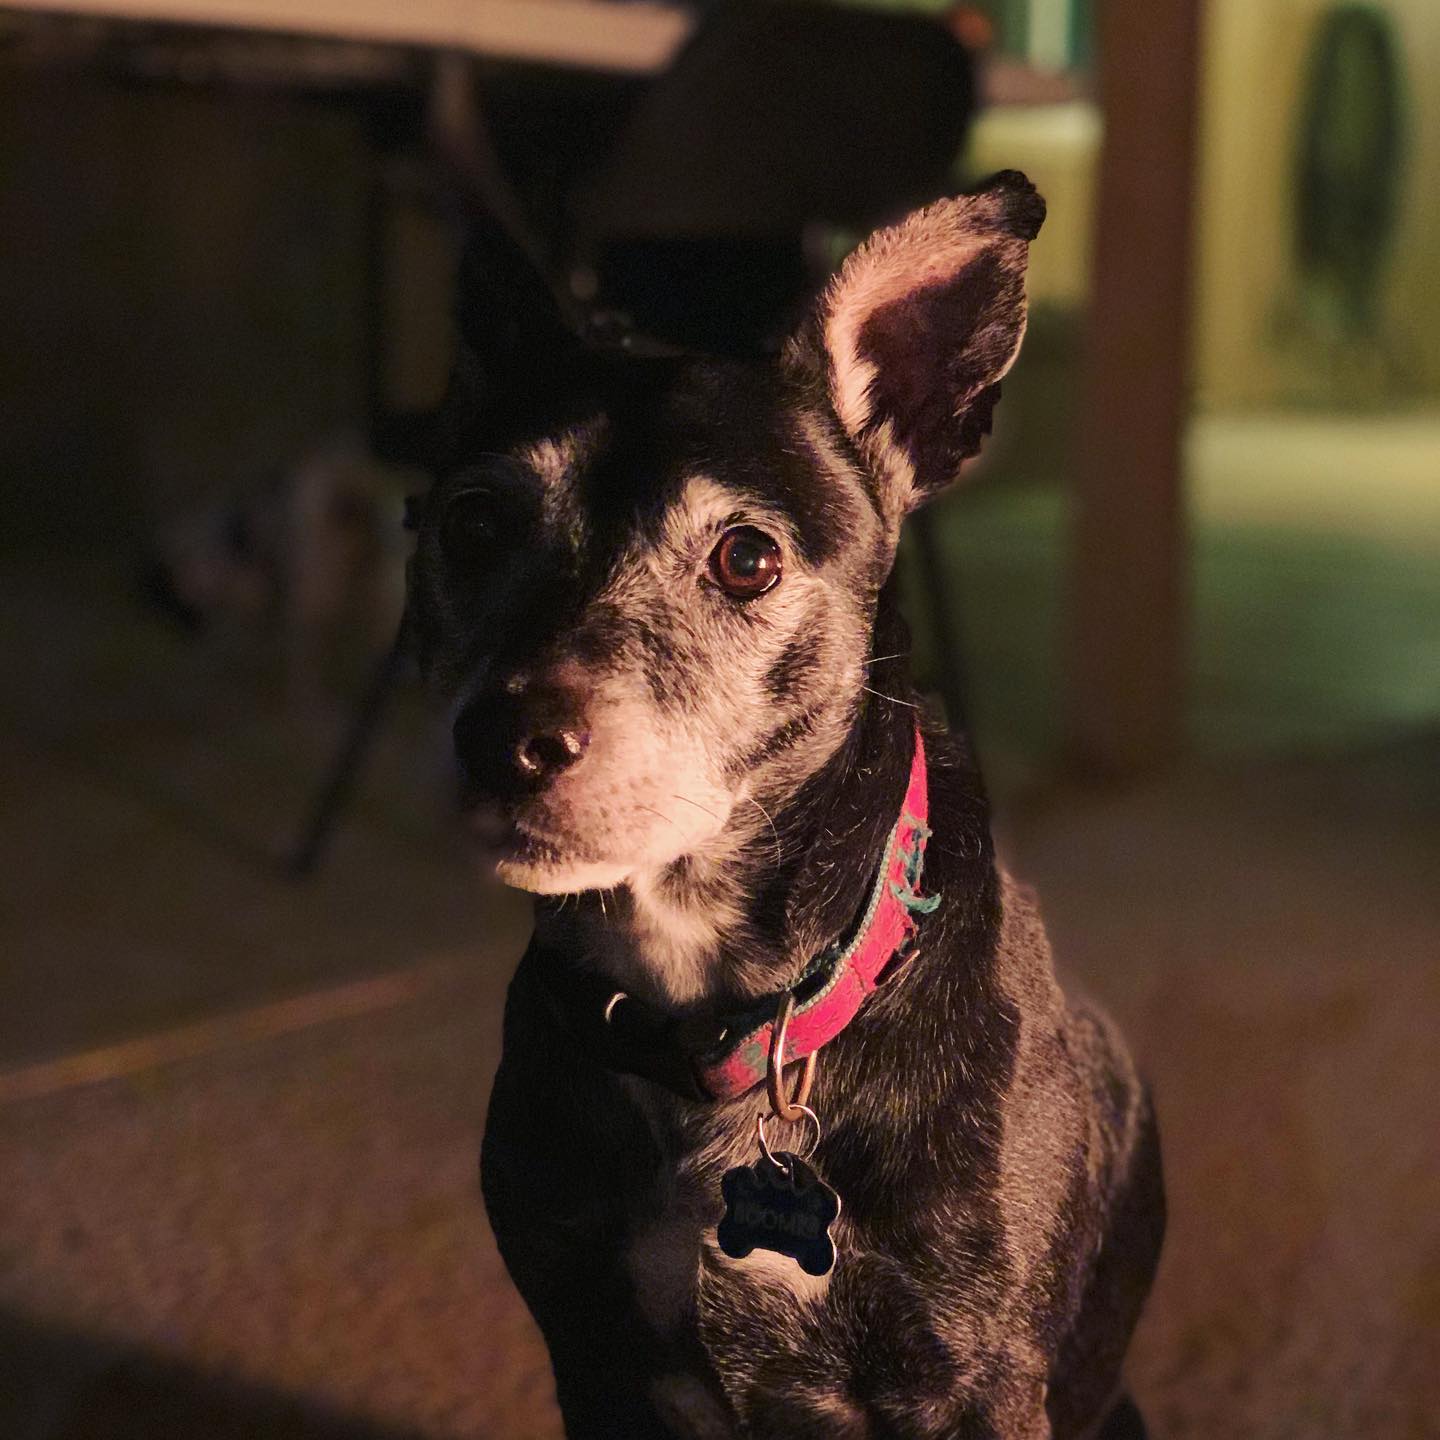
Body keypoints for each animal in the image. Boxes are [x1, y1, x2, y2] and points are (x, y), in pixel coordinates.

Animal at [403, 174, 1157, 1434]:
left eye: (747, 558)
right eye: (471, 524)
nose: (502, 741)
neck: (715, 1018)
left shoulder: (980, 1380)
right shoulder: (591, 1357)